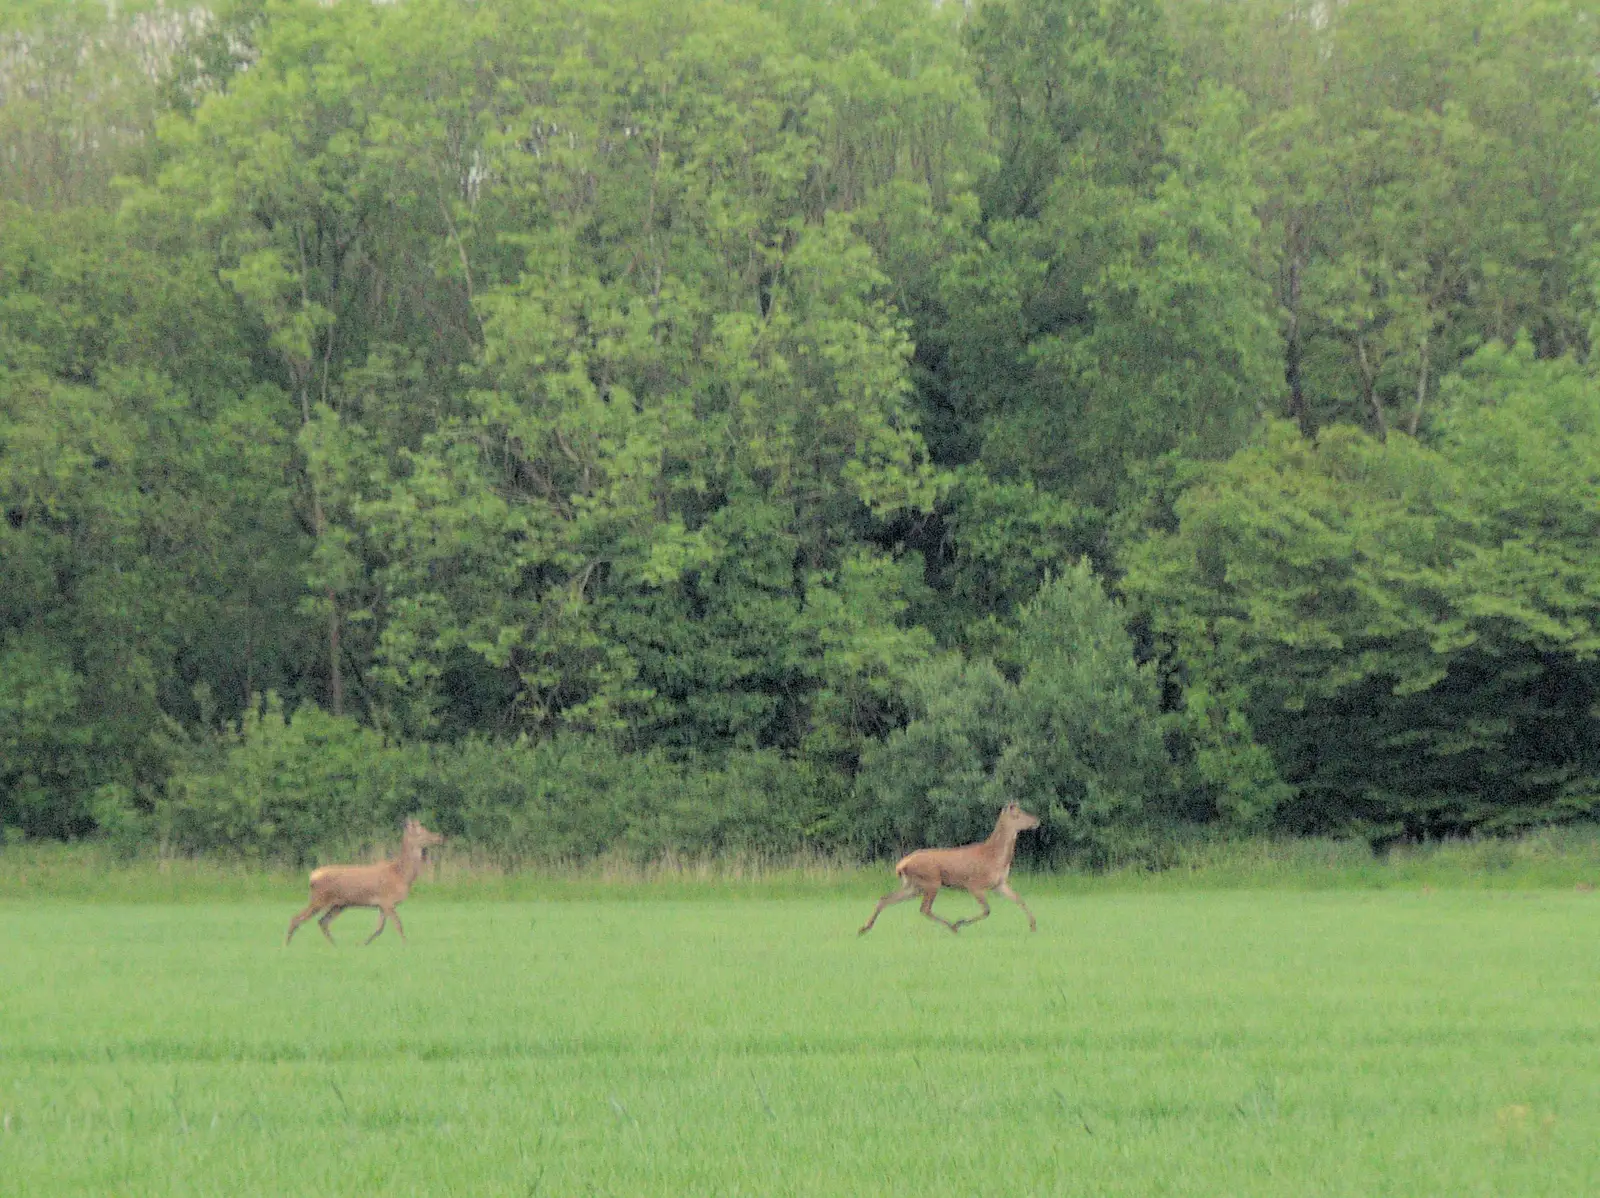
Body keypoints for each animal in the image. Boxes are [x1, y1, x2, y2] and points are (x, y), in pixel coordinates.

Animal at [283, 818, 444, 946]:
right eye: (421, 831)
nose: (439, 837)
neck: (401, 875)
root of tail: (312, 876)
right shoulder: (387, 901)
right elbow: (398, 925)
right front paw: (406, 945)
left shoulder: (382, 904)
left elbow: (379, 928)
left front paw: (363, 944)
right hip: (319, 898)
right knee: (296, 918)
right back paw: (287, 945)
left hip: (339, 904)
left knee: (322, 921)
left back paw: (335, 945)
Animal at [857, 802, 1043, 934]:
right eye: (1018, 814)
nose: (1037, 821)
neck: (995, 857)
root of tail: (901, 865)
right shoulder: (974, 884)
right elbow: (987, 910)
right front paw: (961, 921)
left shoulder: (999, 884)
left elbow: (1019, 899)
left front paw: (1033, 925)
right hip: (932, 881)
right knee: (924, 908)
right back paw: (952, 926)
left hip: (913, 885)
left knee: (886, 898)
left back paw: (864, 928)